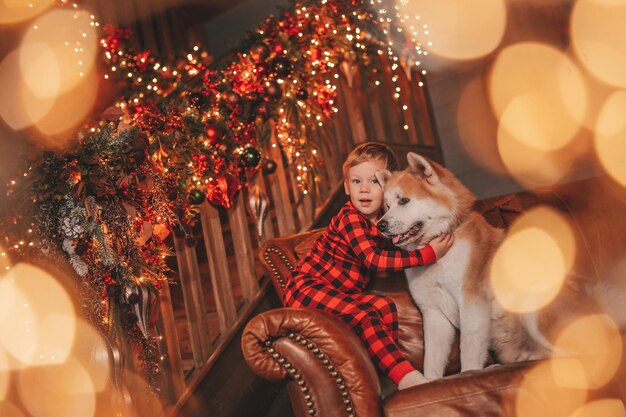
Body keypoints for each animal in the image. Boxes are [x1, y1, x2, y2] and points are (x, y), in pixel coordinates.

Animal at [376, 151, 624, 378]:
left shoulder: (472, 301)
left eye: (404, 200)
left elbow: (468, 345)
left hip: (534, 308)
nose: (380, 225)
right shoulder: (433, 313)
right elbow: (432, 362)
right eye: (386, 207)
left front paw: (469, 373)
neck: (438, 255)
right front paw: (430, 382)